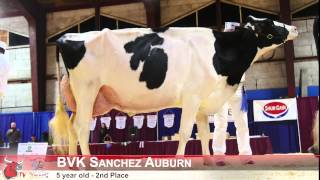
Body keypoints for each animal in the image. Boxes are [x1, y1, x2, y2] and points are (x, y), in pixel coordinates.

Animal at [50, 16, 298, 158]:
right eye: (269, 24)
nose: (295, 28)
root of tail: (66, 37)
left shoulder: (202, 101)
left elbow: (204, 134)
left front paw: (208, 160)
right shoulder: (192, 97)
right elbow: (186, 132)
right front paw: (180, 161)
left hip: (86, 99)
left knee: (72, 128)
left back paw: (72, 163)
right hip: (87, 91)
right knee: (82, 128)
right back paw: (87, 163)